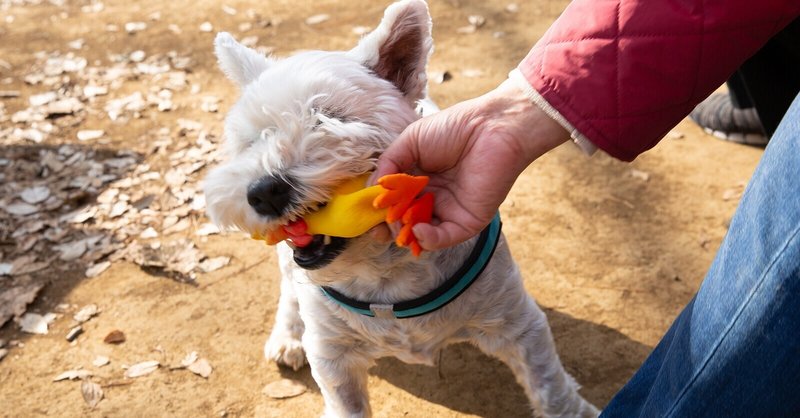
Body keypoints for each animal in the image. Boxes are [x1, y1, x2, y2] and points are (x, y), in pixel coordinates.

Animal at [203, 1, 596, 416]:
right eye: (252, 141)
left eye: (331, 117)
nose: (263, 192)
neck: (382, 272)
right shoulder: (331, 356)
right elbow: (346, 402)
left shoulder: (519, 325)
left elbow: (550, 386)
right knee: (288, 288)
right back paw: (288, 336)